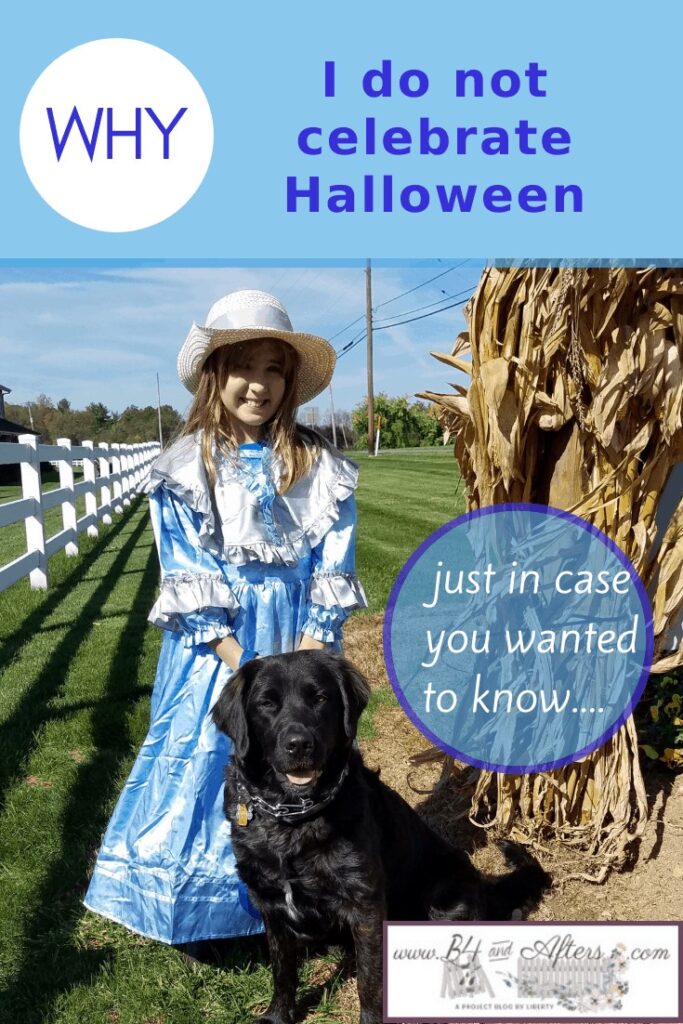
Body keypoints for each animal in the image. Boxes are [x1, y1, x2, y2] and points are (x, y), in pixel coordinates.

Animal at [211, 651, 548, 1019]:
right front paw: (277, 1015)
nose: (299, 745)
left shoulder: (365, 904)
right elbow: (282, 969)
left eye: (320, 698)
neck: (292, 821)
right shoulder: (268, 901)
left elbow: (369, 981)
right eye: (266, 703)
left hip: (445, 901)